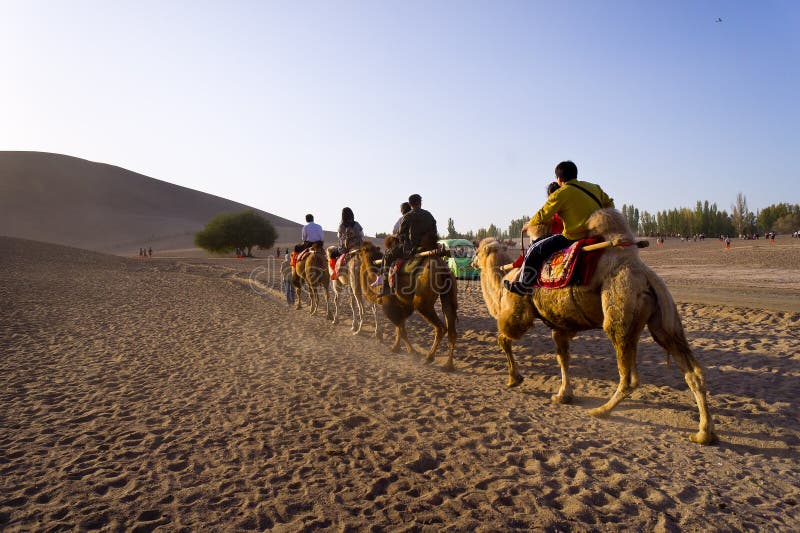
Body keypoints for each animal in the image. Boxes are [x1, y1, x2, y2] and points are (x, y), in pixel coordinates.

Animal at [360, 241, 460, 370]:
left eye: (361, 250)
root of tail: (442, 267)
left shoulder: (389, 305)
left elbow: (401, 329)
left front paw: (412, 352)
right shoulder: (403, 306)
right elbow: (400, 328)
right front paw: (396, 348)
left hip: (422, 302)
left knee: (441, 328)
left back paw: (428, 358)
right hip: (448, 295)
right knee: (452, 329)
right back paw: (448, 365)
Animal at [472, 209, 716, 444]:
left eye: (478, 250)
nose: (473, 262)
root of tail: (645, 275)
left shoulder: (518, 312)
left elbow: (503, 339)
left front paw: (514, 379)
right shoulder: (560, 326)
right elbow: (563, 359)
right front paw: (563, 395)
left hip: (619, 313)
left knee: (629, 376)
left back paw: (601, 411)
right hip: (665, 321)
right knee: (693, 372)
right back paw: (704, 434)